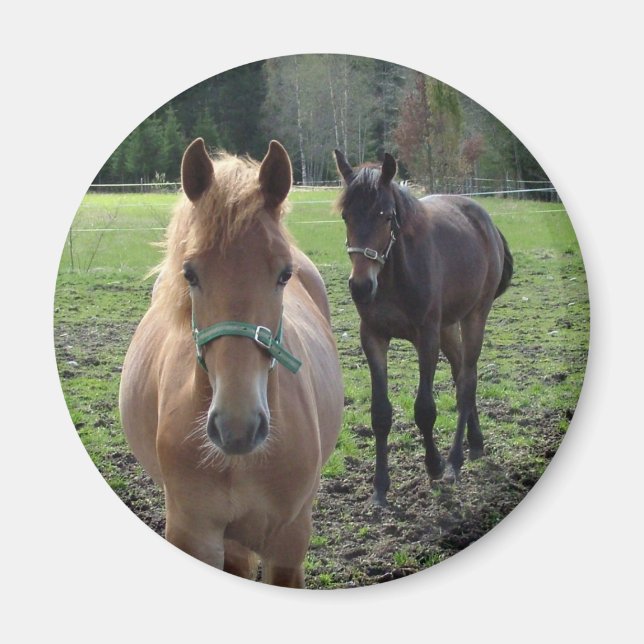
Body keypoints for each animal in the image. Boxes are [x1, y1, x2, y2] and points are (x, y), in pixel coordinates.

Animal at [334, 149, 513, 506]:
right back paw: (476, 443)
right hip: (448, 328)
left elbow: (425, 408)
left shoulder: (426, 337)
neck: (393, 278)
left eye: (386, 216)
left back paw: (455, 460)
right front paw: (379, 488)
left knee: (467, 381)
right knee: (461, 374)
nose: (361, 286)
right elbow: (380, 413)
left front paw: (434, 465)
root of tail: (486, 221)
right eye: (346, 215)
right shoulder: (373, 337)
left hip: (474, 316)